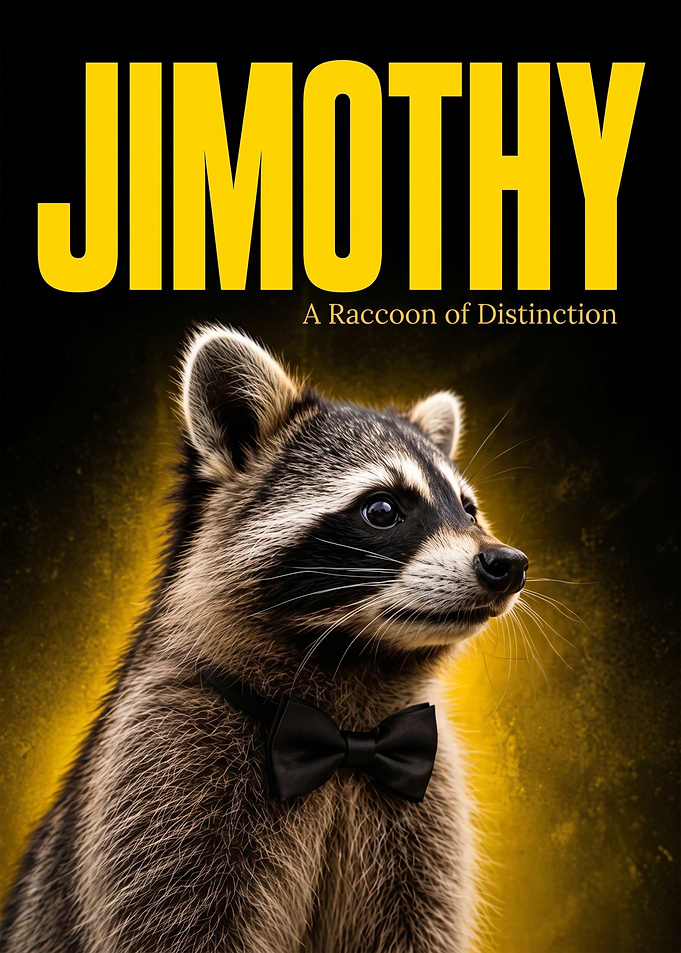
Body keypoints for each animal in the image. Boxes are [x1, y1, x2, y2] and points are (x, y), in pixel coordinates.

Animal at [1, 327, 529, 953]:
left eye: (468, 510)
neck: (347, 737)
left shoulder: (427, 807)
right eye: (383, 509)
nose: (508, 564)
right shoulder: (162, 778)